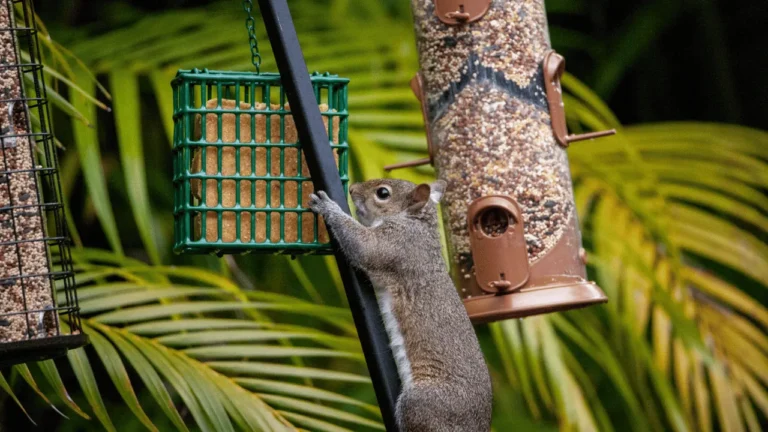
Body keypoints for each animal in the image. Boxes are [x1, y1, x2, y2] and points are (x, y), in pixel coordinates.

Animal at [308, 177, 492, 430]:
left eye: (383, 193)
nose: (352, 189)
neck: (415, 222)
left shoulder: (396, 244)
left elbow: (364, 247)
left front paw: (328, 207)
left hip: (421, 404)